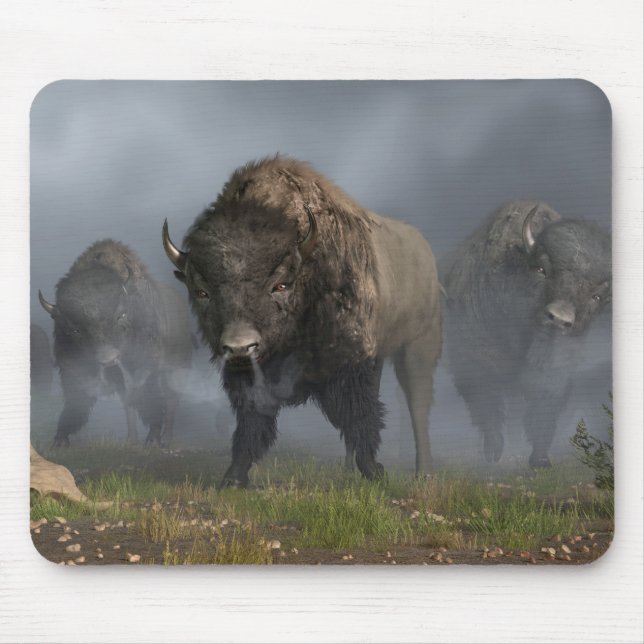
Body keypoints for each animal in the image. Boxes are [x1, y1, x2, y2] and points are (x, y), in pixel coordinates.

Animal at [39, 240, 192, 447]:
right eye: (75, 330)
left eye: (121, 315)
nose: (108, 359)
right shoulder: (72, 366)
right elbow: (76, 399)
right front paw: (60, 440)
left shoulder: (145, 365)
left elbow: (149, 398)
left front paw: (152, 439)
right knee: (130, 404)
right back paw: (131, 439)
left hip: (177, 366)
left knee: (171, 400)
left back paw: (165, 441)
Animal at [163, 156, 442, 487]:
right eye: (202, 291)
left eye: (281, 285)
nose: (241, 347)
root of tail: (425, 250)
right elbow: (251, 422)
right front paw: (233, 478)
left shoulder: (352, 361)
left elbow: (359, 413)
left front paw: (375, 471)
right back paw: (349, 471)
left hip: (418, 346)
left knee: (416, 403)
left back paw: (424, 473)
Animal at [440, 200, 611, 467]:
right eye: (541, 269)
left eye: (597, 297)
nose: (558, 317)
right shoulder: (474, 363)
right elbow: (487, 406)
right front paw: (493, 453)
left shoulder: (555, 375)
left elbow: (542, 412)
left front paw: (540, 460)